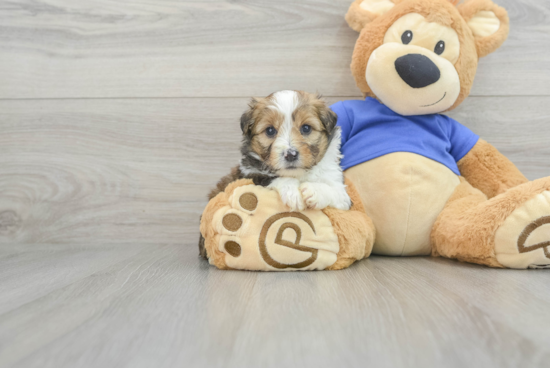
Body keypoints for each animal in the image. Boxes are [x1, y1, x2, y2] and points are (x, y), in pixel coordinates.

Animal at [209, 90, 352, 213]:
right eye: (270, 130)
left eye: (306, 128)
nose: (290, 155)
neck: (298, 174)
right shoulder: (248, 175)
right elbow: (273, 178)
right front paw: (292, 193)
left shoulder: (343, 195)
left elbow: (337, 193)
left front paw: (313, 191)